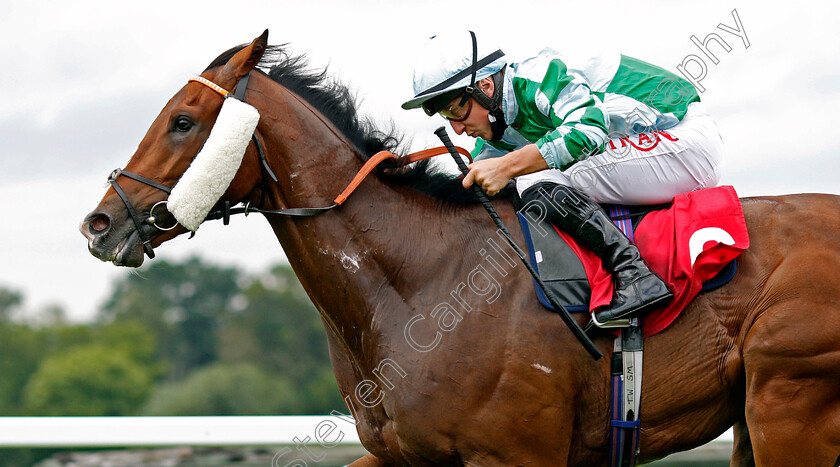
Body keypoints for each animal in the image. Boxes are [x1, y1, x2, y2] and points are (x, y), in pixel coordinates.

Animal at [80, 31, 840, 466]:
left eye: (184, 121)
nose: (99, 223)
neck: (419, 282)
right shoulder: (404, 455)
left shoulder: (516, 455)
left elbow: (581, 124)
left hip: (790, 403)